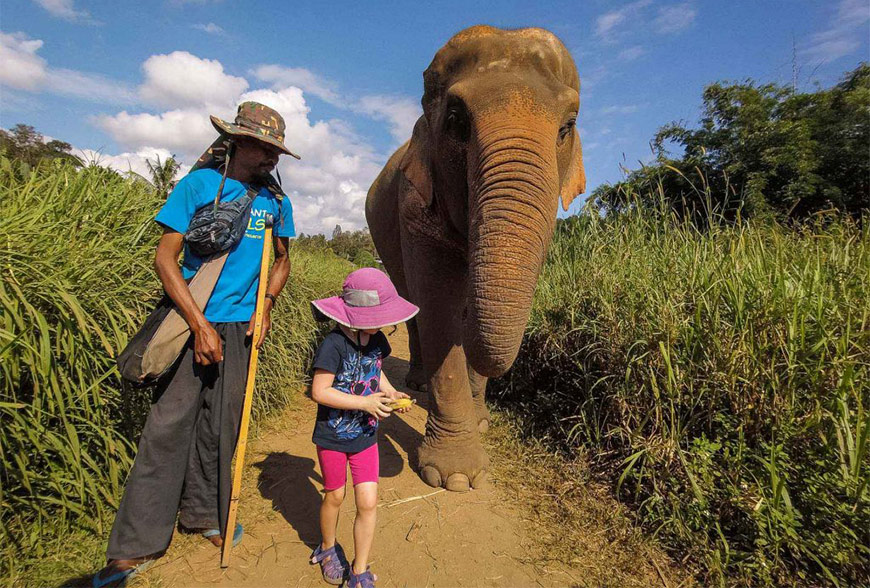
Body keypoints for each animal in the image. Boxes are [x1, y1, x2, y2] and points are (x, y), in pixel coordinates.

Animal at [364, 24, 588, 492]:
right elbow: (437, 305)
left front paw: (481, 421)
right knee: (412, 304)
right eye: (456, 121)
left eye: (567, 127)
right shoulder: (414, 203)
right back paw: (417, 384)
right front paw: (455, 478)